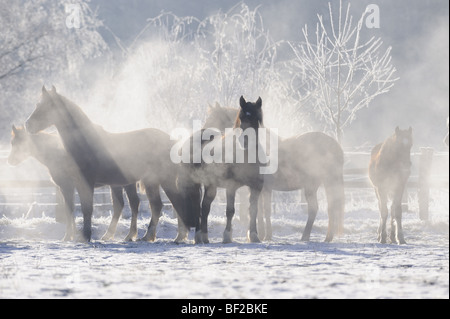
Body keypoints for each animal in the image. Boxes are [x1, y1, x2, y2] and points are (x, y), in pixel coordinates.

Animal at [7, 126, 140, 241]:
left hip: (127, 183)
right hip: (118, 184)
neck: (56, 153)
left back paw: (129, 235)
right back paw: (111, 235)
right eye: (12, 142)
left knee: (133, 204)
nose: (10, 161)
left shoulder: (66, 186)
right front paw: (72, 235)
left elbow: (70, 210)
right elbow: (70, 209)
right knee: (121, 205)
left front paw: (68, 236)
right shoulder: (68, 187)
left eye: (18, 143)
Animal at [25, 86, 193, 244]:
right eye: (37, 104)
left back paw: (175, 236)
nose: (28, 124)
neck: (84, 143)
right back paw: (151, 236)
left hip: (163, 180)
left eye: (49, 106)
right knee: (158, 205)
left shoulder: (86, 183)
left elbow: (87, 209)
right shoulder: (72, 185)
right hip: (151, 182)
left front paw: (86, 236)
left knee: (173, 203)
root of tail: (172, 141)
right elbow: (72, 210)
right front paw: (70, 237)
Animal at [204, 105, 344, 242]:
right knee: (330, 208)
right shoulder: (265, 188)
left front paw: (260, 234)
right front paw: (264, 234)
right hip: (322, 185)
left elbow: (260, 210)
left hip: (317, 185)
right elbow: (264, 210)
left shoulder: (260, 187)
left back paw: (307, 236)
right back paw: (326, 237)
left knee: (316, 208)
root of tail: (335, 145)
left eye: (212, 119)